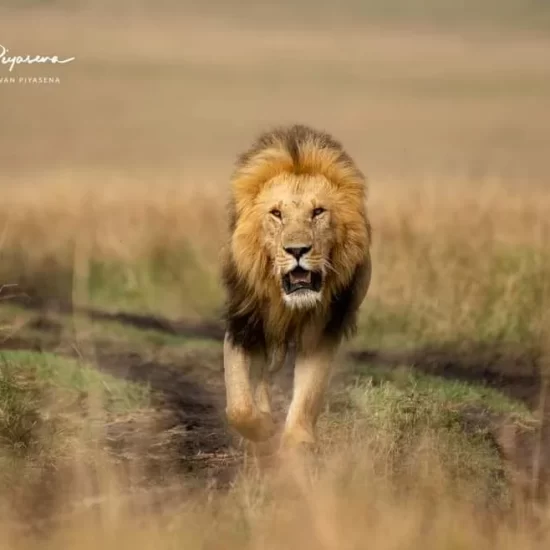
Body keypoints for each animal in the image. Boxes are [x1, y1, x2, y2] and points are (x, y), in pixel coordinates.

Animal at [222, 123, 374, 450]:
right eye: (276, 214)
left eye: (318, 212)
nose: (297, 250)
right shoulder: (244, 324)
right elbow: (239, 406)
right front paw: (264, 431)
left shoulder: (322, 330)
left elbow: (307, 398)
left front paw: (296, 445)